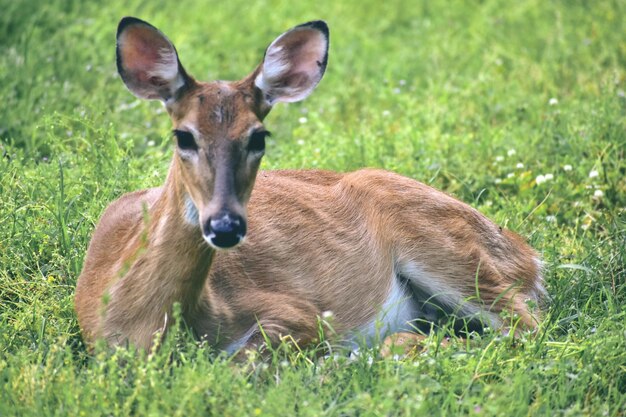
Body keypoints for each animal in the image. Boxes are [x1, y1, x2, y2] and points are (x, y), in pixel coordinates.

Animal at [72, 17, 540, 354]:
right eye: (183, 136)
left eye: (259, 137)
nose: (225, 226)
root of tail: (530, 256)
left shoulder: (299, 314)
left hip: (451, 250)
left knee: (523, 328)